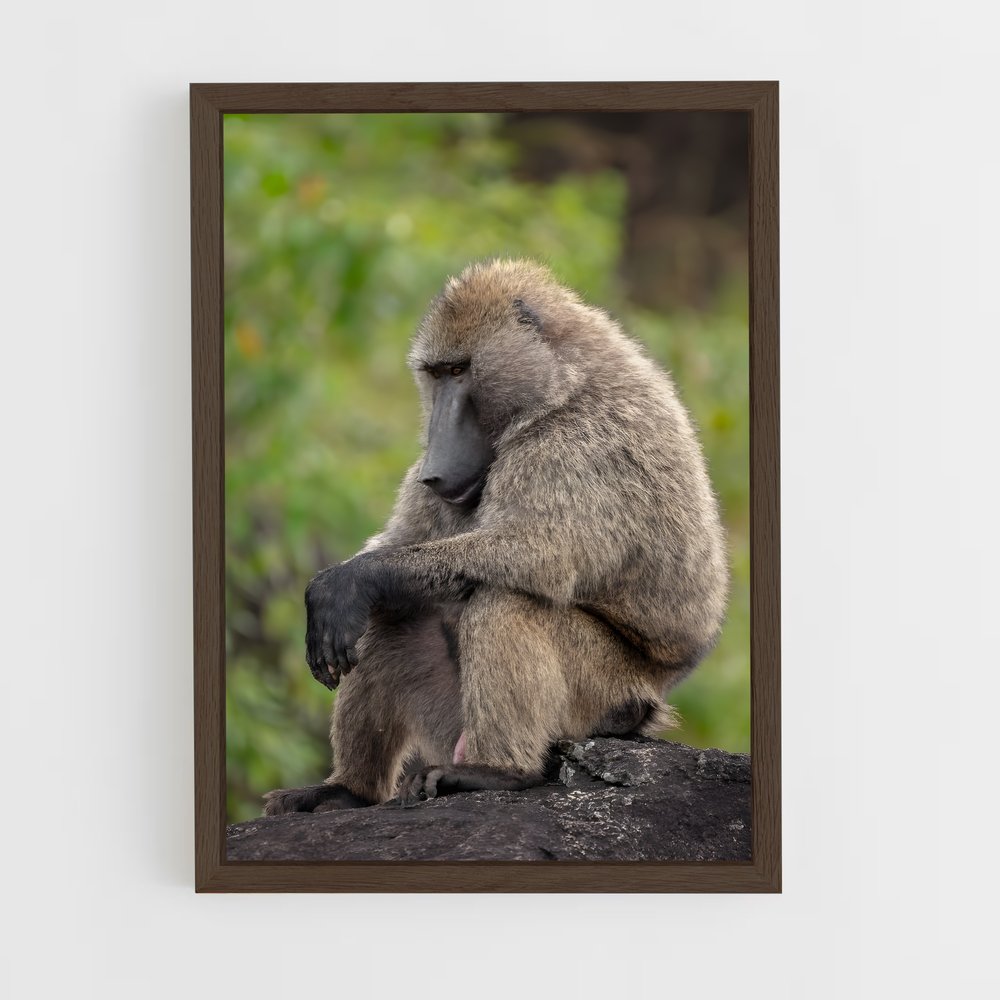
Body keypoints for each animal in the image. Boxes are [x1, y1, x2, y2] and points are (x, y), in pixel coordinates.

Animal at [263, 258, 728, 814]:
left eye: (461, 371)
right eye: (436, 373)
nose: (434, 467)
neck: (563, 382)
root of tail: (650, 704)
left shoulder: (578, 446)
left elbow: (541, 555)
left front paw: (348, 583)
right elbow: (398, 543)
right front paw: (333, 590)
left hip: (603, 695)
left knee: (505, 599)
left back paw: (499, 772)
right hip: (452, 719)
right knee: (392, 614)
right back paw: (348, 790)